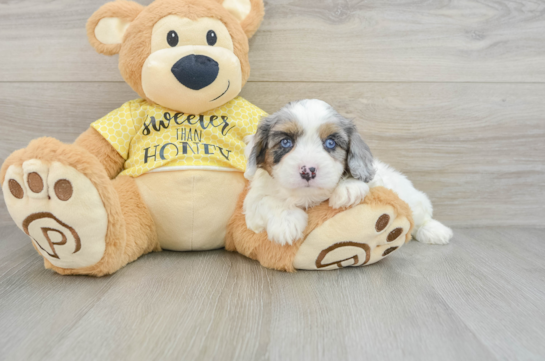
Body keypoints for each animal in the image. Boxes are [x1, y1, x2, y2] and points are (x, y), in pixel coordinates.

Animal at [244, 98, 452, 245]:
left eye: (330, 143)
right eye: (286, 142)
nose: (308, 171)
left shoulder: (378, 181)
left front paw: (348, 187)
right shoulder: (253, 203)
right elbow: (266, 201)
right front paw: (286, 223)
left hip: (414, 200)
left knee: (421, 217)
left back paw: (436, 231)